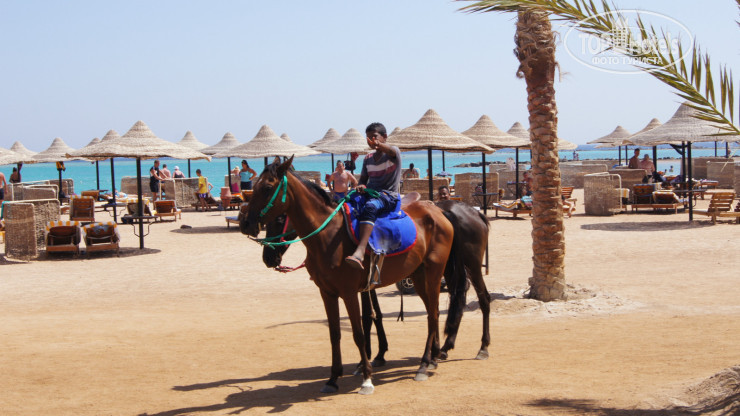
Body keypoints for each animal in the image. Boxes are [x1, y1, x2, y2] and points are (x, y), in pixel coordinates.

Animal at [241, 157, 454, 395]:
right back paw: (432, 358)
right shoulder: (327, 293)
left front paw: (367, 378)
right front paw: (333, 378)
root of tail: (438, 213)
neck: (328, 236)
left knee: (433, 314)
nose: (245, 223)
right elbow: (335, 334)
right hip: (418, 275)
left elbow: (359, 332)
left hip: (434, 273)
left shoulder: (350, 292)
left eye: (268, 188)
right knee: (433, 312)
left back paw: (424, 364)